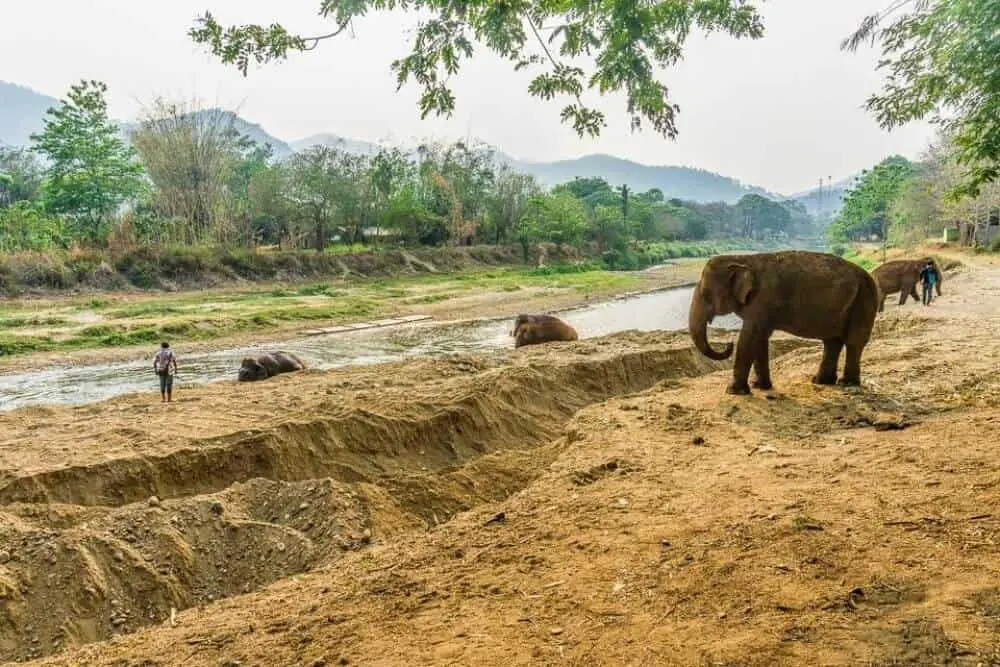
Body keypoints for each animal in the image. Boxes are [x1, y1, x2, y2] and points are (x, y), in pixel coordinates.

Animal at [692, 250, 880, 396]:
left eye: (706, 293)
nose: (728, 344)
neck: (742, 258)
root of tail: (868, 276)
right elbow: (760, 338)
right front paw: (760, 386)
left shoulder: (762, 300)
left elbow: (750, 337)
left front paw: (734, 392)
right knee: (833, 341)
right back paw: (821, 381)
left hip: (864, 301)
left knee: (853, 342)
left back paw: (846, 383)